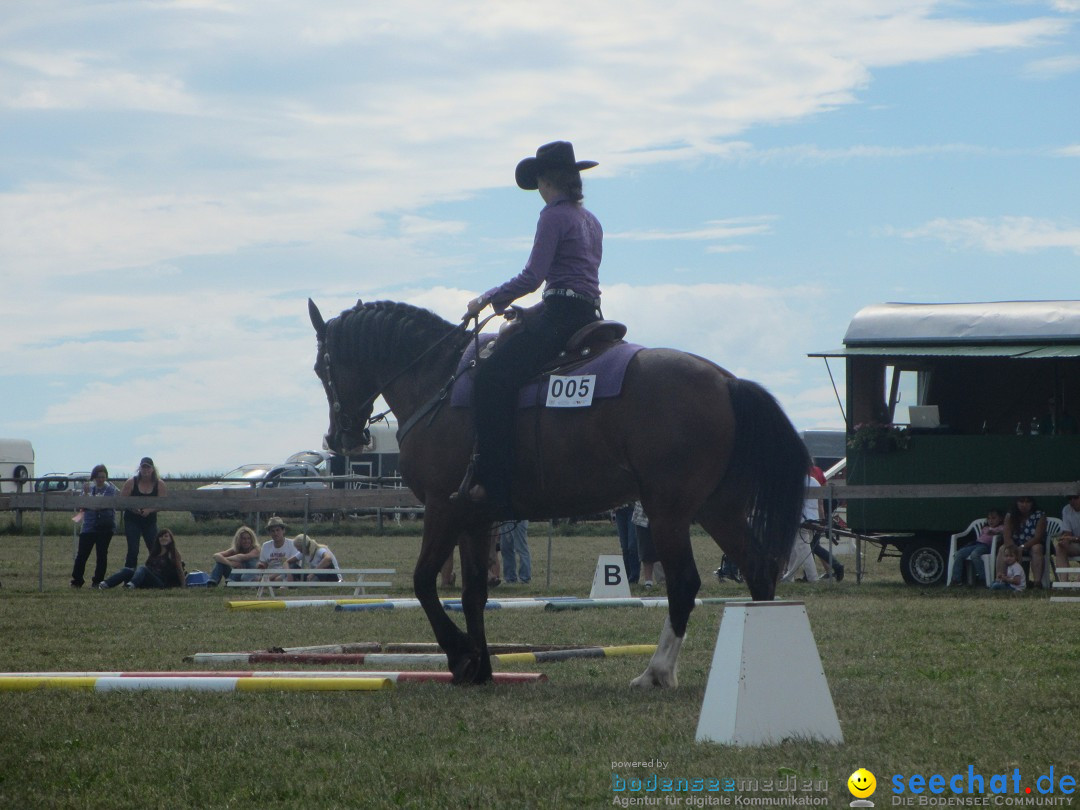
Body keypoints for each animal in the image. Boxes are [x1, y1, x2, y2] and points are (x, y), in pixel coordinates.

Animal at [308, 302, 807, 686]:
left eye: (319, 367)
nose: (340, 438)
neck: (438, 382)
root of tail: (725, 381)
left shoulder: (441, 507)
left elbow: (424, 582)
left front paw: (461, 657)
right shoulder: (475, 516)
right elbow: (473, 593)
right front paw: (482, 668)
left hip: (669, 511)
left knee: (684, 583)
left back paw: (657, 672)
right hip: (718, 508)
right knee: (759, 568)